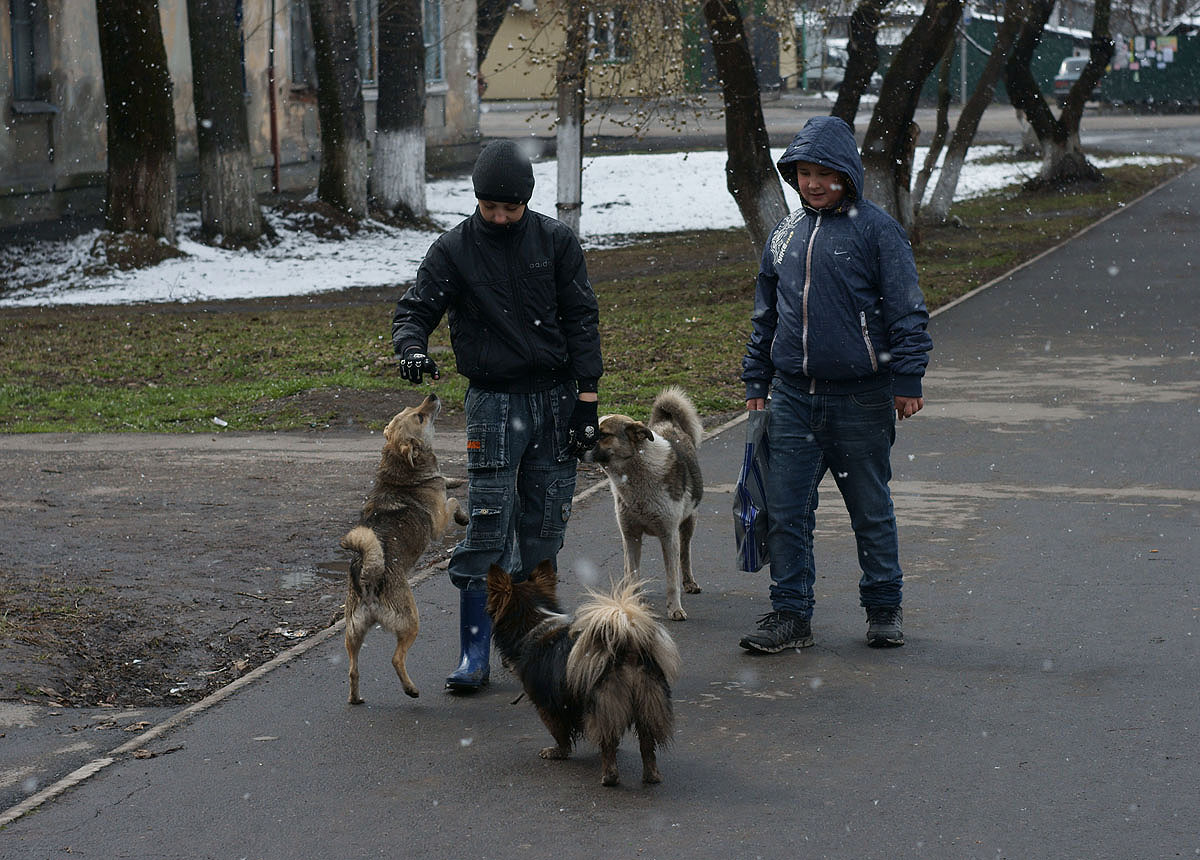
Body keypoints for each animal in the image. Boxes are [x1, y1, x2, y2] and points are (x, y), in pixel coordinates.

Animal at [343, 395, 468, 705]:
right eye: (419, 417)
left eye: (410, 410)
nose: (432, 396)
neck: (401, 471)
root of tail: (368, 577)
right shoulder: (438, 521)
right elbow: (453, 501)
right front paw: (463, 516)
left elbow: (447, 482)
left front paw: (455, 479)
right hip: (411, 622)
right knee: (396, 659)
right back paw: (411, 689)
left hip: (352, 633)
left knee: (353, 669)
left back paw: (355, 698)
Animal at [482, 561, 681, 782]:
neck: (535, 625)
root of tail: (627, 647)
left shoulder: (546, 704)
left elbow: (560, 733)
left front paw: (557, 752)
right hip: (647, 703)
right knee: (647, 745)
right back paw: (651, 776)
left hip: (604, 702)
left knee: (609, 743)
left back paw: (609, 777)